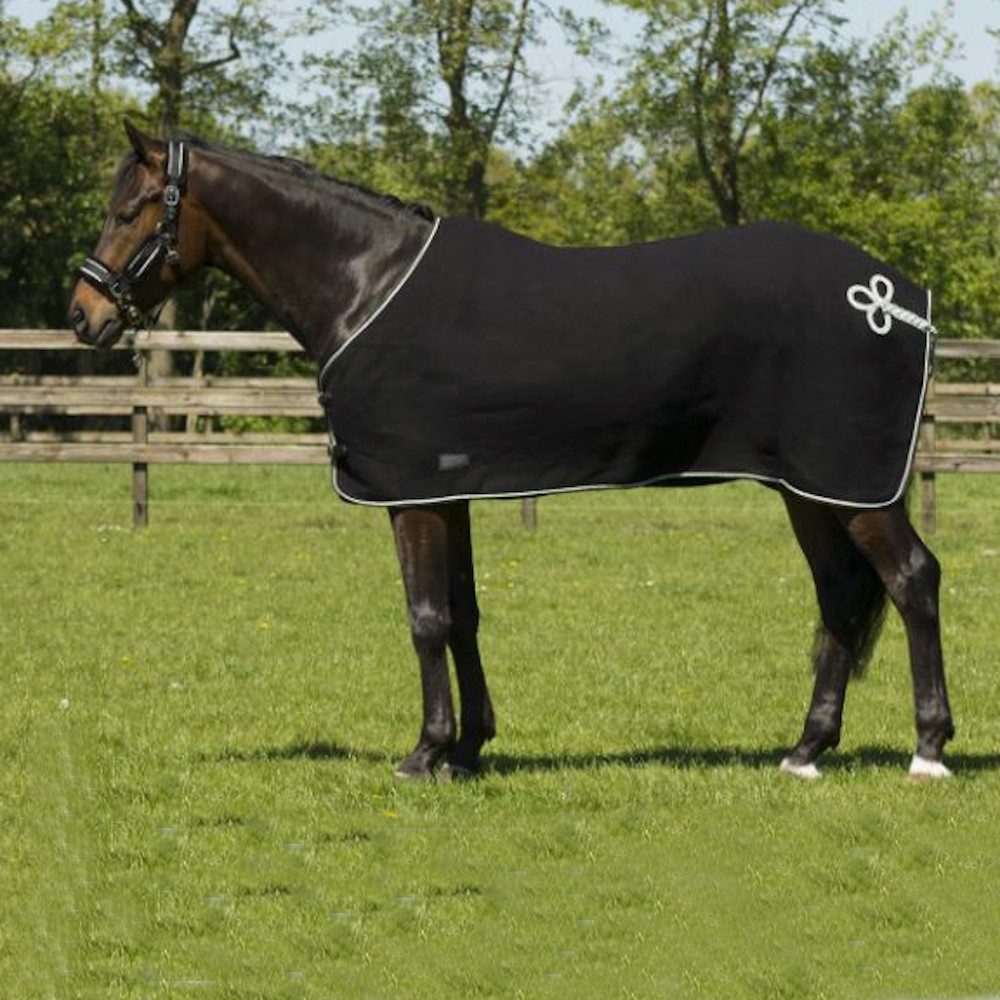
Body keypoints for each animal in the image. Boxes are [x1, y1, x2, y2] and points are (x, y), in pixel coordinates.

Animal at [68, 122, 955, 782]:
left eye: (132, 209)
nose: (82, 315)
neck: (366, 282)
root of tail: (898, 301)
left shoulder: (410, 493)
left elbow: (425, 617)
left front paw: (424, 753)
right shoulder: (448, 488)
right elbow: (462, 614)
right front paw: (468, 747)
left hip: (849, 483)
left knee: (912, 578)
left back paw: (929, 749)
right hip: (810, 487)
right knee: (840, 592)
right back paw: (805, 750)